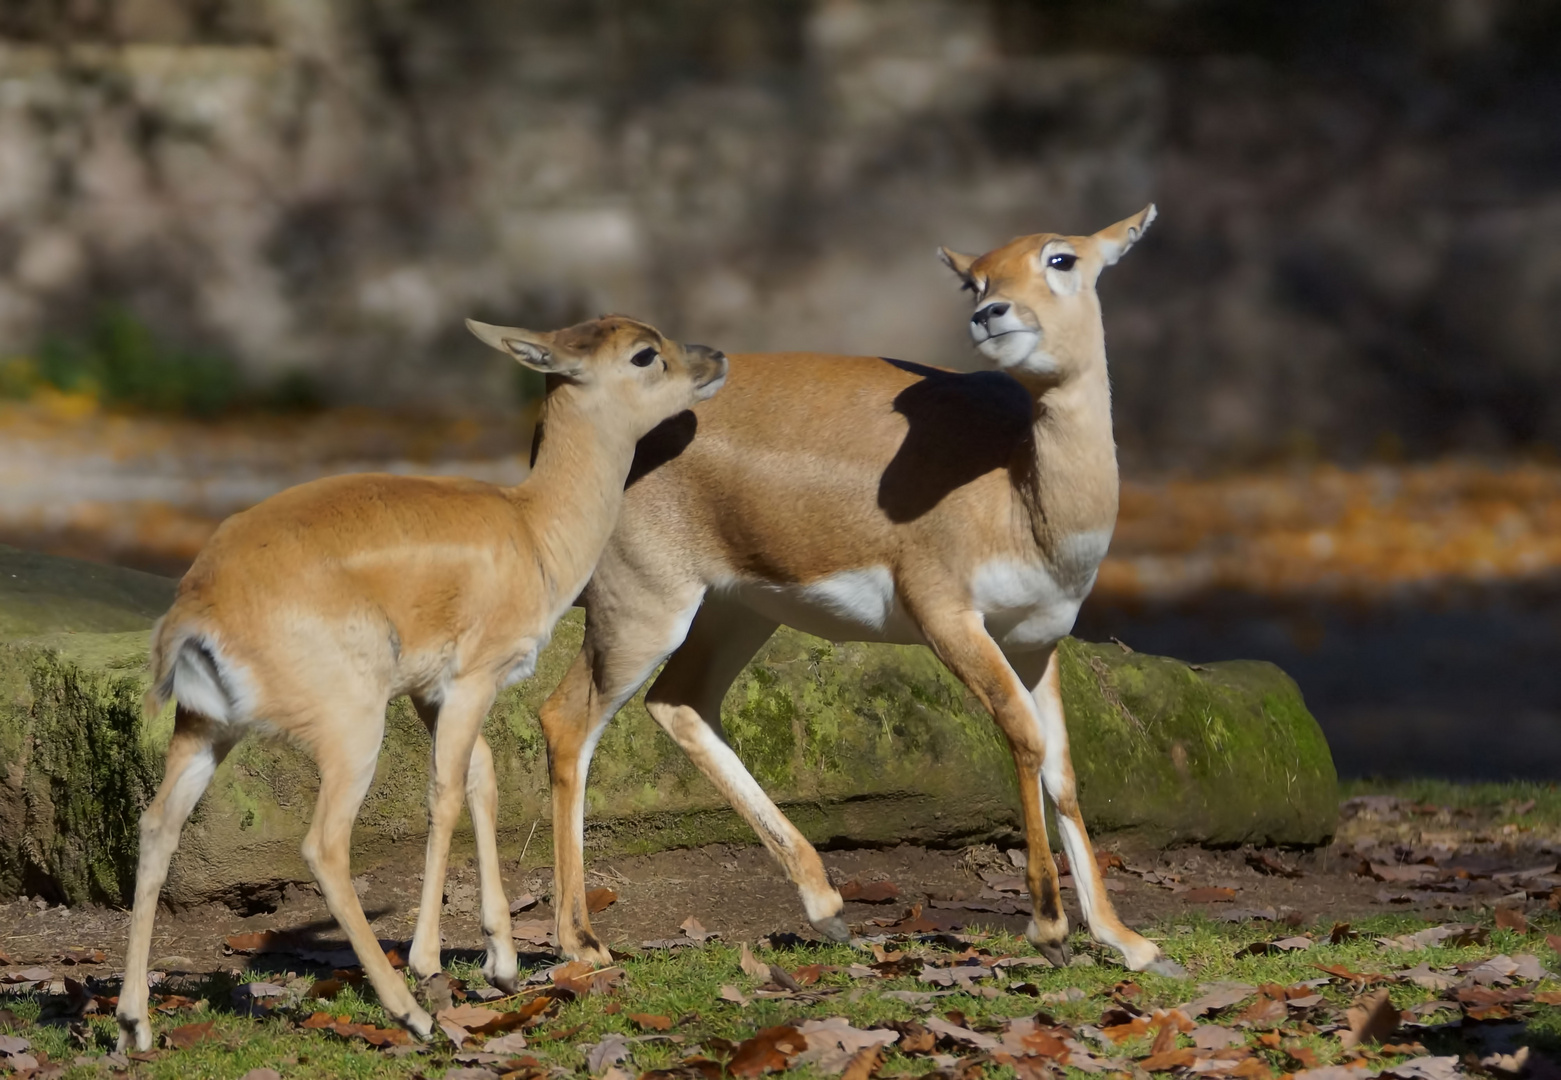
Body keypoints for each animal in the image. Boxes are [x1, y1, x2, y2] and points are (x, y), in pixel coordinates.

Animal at [115, 316, 724, 1048]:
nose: (714, 357)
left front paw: (503, 963)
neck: (532, 527)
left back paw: (133, 1024)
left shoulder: (432, 693)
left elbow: (482, 778)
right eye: (643, 353)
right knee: (324, 845)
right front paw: (436, 959)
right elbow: (446, 792)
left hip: (205, 730)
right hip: (352, 730)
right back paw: (409, 1013)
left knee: (157, 825)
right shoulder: (472, 679)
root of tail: (198, 604)